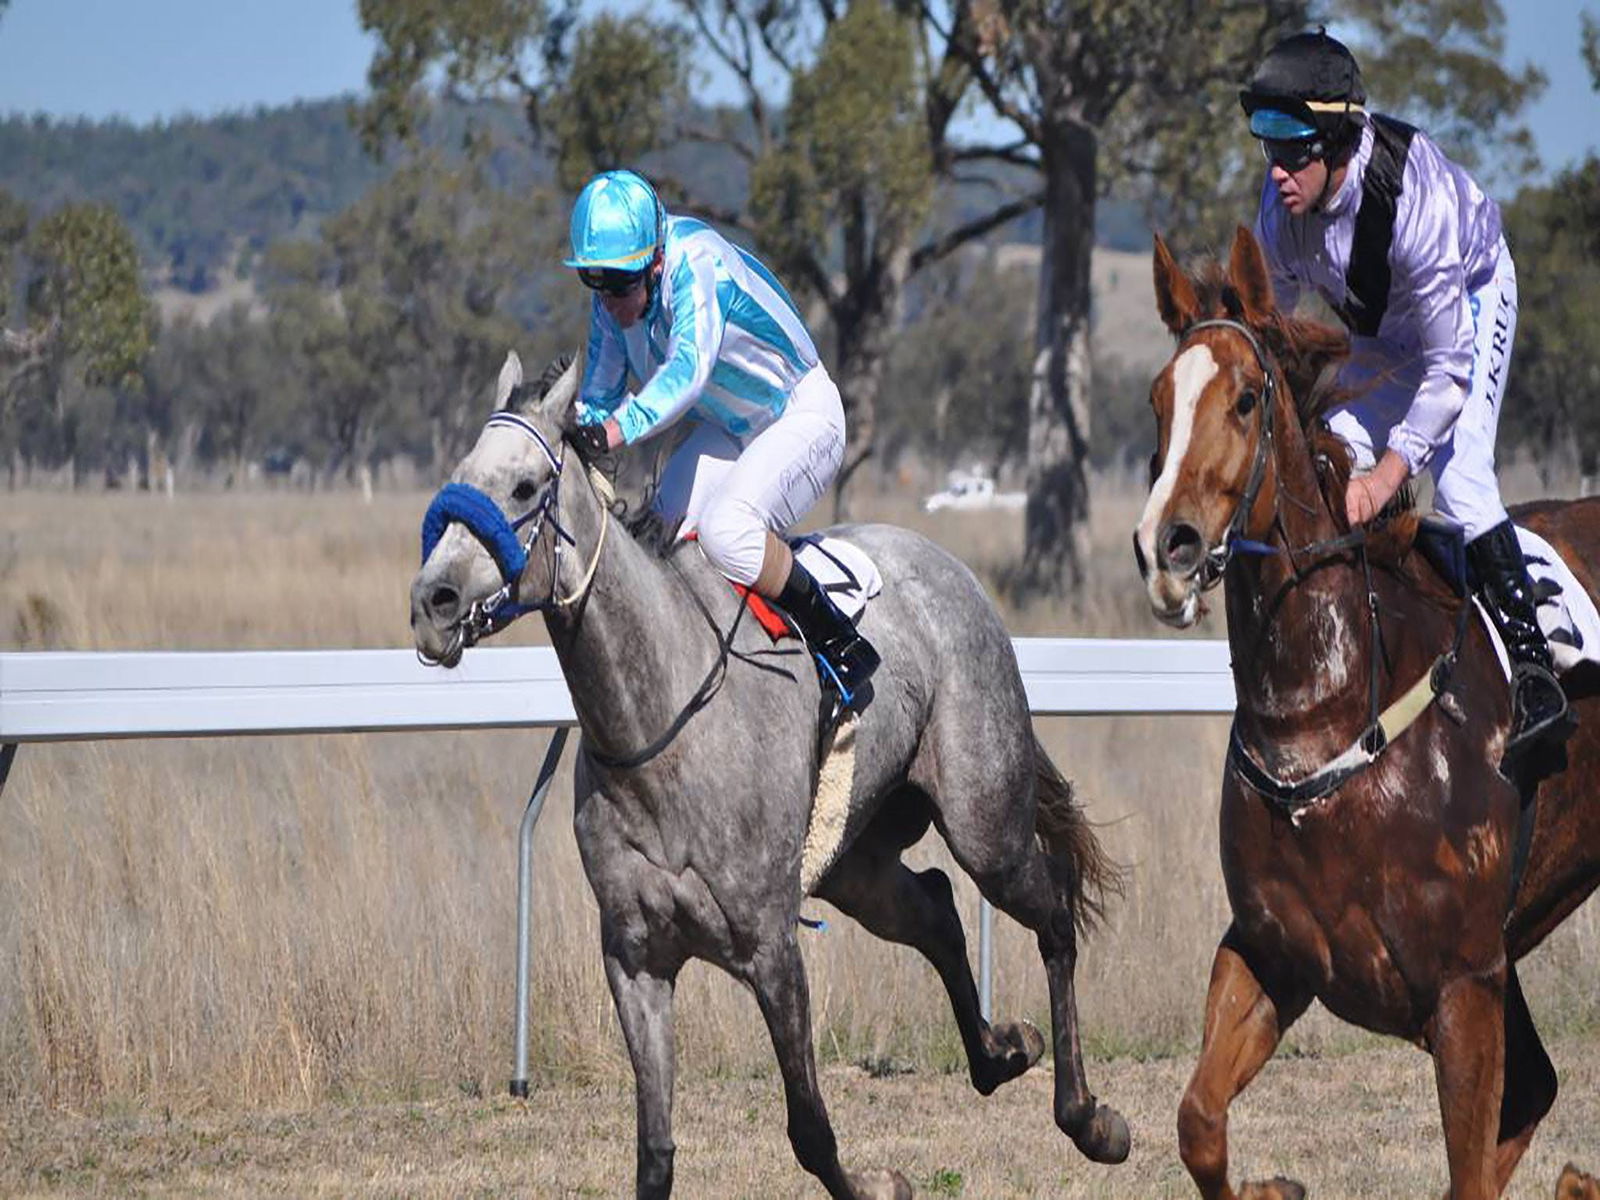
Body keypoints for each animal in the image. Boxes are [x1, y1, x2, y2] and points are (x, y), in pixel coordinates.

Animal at [412, 352, 1139, 1196]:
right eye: (460, 478)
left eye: (526, 487)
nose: (431, 602)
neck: (658, 731)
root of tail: (947, 564)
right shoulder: (636, 959)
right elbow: (654, 1152)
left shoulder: (770, 948)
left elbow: (811, 1132)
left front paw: (879, 1183)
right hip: (855, 863)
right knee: (935, 908)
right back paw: (1001, 1053)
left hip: (986, 824)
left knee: (1051, 910)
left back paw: (1090, 1119)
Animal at [1139, 227, 1600, 1200]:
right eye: (1159, 398)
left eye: (1246, 399)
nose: (1168, 548)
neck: (1326, 719)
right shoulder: (1270, 952)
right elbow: (1198, 1121)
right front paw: (1273, 1187)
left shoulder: (1467, 986)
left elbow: (1471, 1164)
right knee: (1538, 1087)